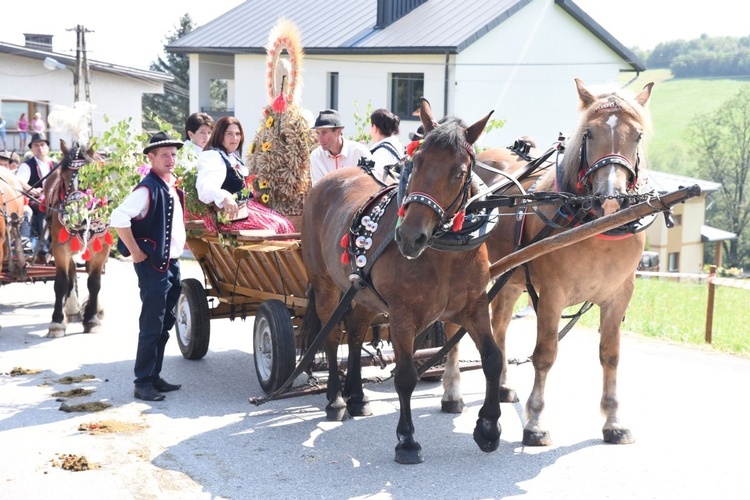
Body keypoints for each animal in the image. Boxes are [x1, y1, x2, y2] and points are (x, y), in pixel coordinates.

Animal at [43, 141, 111, 336]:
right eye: (64, 179)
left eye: (90, 179)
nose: (73, 218)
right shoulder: (60, 247)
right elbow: (61, 282)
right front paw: (57, 322)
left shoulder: (102, 250)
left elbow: (94, 282)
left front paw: (92, 319)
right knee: (72, 271)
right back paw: (72, 308)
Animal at [302, 98, 506, 464]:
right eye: (416, 161)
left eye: (458, 172)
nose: (410, 236)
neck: (445, 252)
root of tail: (330, 181)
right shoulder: (402, 315)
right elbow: (406, 375)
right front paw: (407, 440)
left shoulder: (474, 306)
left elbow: (493, 359)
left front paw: (488, 427)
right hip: (326, 287)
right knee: (332, 336)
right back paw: (337, 400)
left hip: (363, 293)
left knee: (356, 331)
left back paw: (357, 396)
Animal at [444, 78, 656, 446]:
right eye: (588, 133)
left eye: (637, 135)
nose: (611, 198)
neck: (594, 224)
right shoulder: (552, 296)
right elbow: (544, 355)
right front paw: (535, 422)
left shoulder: (619, 296)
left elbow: (610, 355)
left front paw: (613, 420)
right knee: (454, 327)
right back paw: (452, 393)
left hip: (511, 278)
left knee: (499, 327)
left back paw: (502, 385)